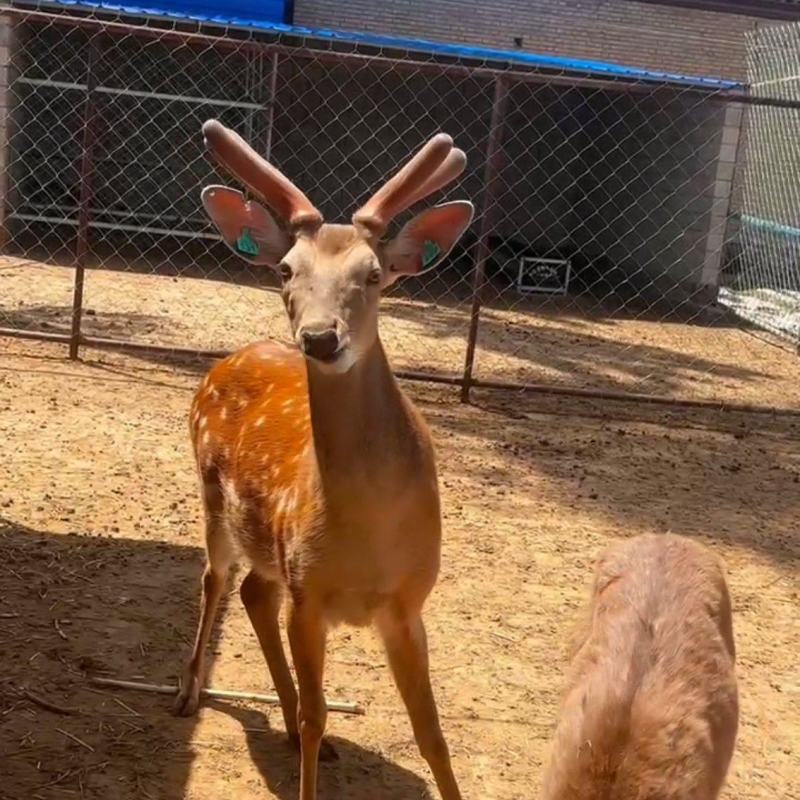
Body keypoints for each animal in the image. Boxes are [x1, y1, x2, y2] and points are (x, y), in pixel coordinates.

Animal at [173, 119, 473, 800]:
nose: (319, 337)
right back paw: (189, 692)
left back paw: (278, 721)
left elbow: (433, 735)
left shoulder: (408, 601)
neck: (365, 536)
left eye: (375, 273)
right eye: (286, 269)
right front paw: (307, 737)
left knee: (253, 592)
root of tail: (229, 358)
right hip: (214, 501)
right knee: (216, 579)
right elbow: (317, 716)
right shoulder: (308, 595)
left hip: (267, 547)